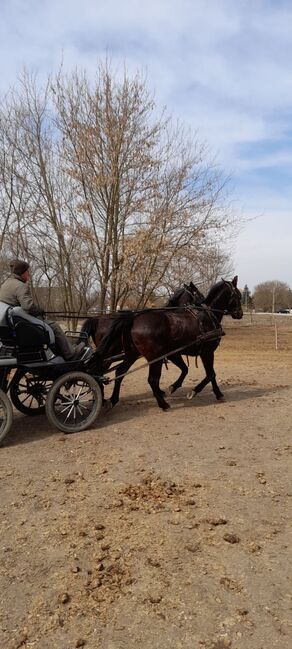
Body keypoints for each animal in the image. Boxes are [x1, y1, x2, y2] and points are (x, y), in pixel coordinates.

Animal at [94, 274, 243, 408]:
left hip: (132, 354)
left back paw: (113, 400)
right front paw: (199, 392)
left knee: (119, 373)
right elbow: (211, 374)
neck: (208, 316)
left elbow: (188, 370)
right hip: (153, 357)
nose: (240, 313)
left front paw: (175, 387)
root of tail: (133, 318)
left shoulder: (175, 353)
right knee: (152, 379)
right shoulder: (207, 352)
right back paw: (162, 404)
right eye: (239, 296)